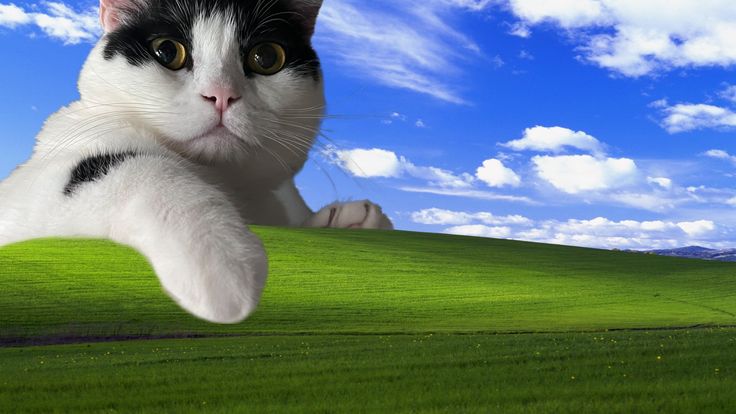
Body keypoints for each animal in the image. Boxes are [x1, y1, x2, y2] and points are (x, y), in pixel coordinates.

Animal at [0, 0, 394, 324]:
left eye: (266, 58)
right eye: (166, 51)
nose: (221, 94)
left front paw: (346, 220)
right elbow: (142, 169)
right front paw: (222, 264)